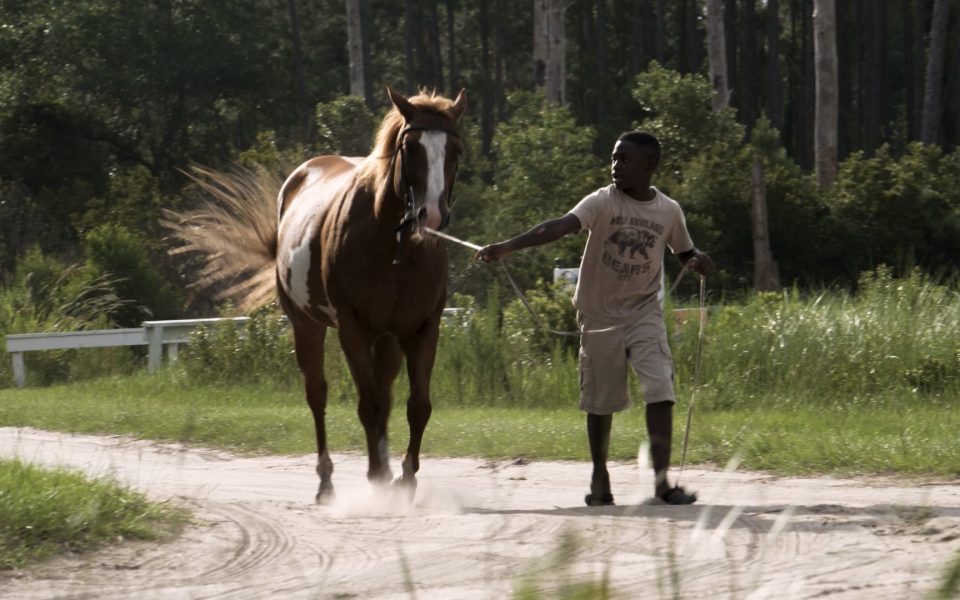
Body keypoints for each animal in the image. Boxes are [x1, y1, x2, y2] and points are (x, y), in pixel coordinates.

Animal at [165, 85, 466, 503]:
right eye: (410, 147)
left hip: (387, 339)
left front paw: (404, 478)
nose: (432, 217)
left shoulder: (423, 328)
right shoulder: (352, 329)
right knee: (319, 394)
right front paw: (377, 478)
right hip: (307, 327)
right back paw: (327, 481)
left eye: (455, 150)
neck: (395, 248)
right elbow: (369, 404)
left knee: (387, 395)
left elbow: (417, 406)